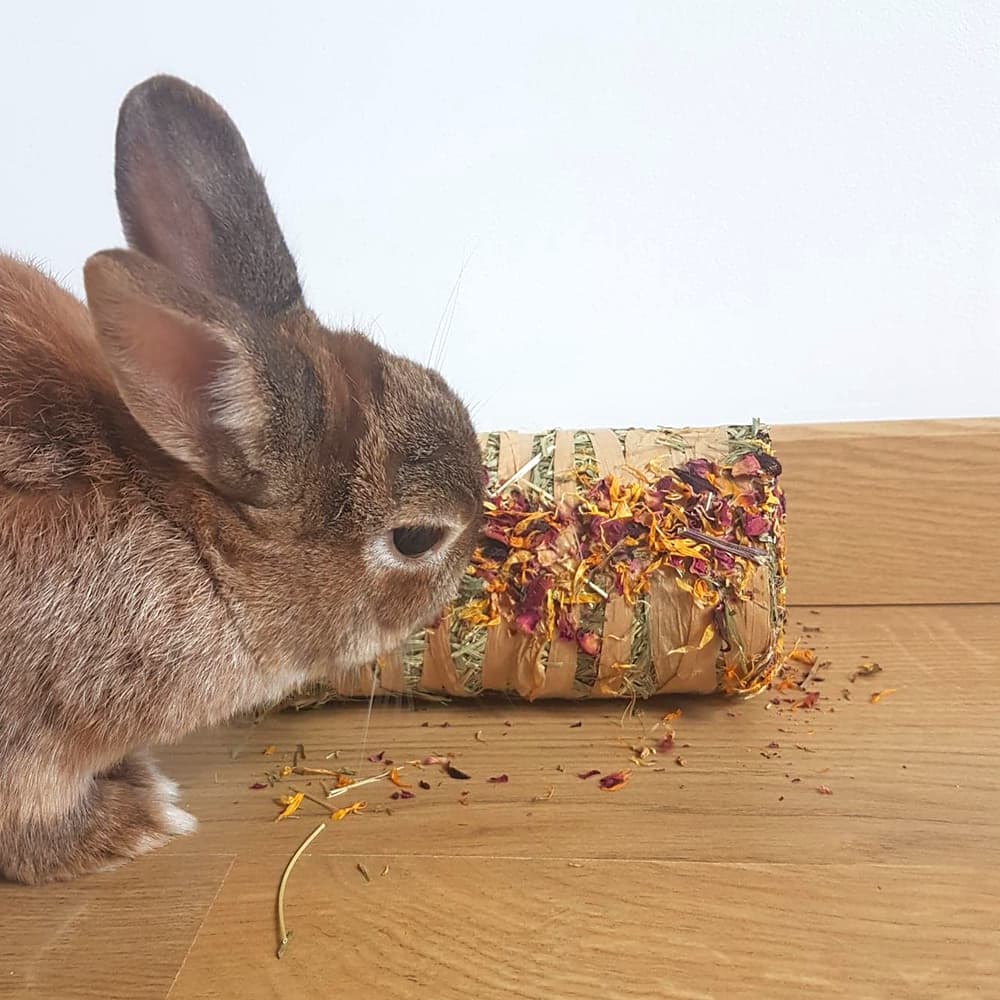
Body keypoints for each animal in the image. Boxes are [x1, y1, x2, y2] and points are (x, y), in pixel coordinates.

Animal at [0, 75, 484, 884]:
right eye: (416, 538)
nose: (480, 546)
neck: (193, 542)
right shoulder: (30, 743)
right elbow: (34, 823)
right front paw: (136, 822)